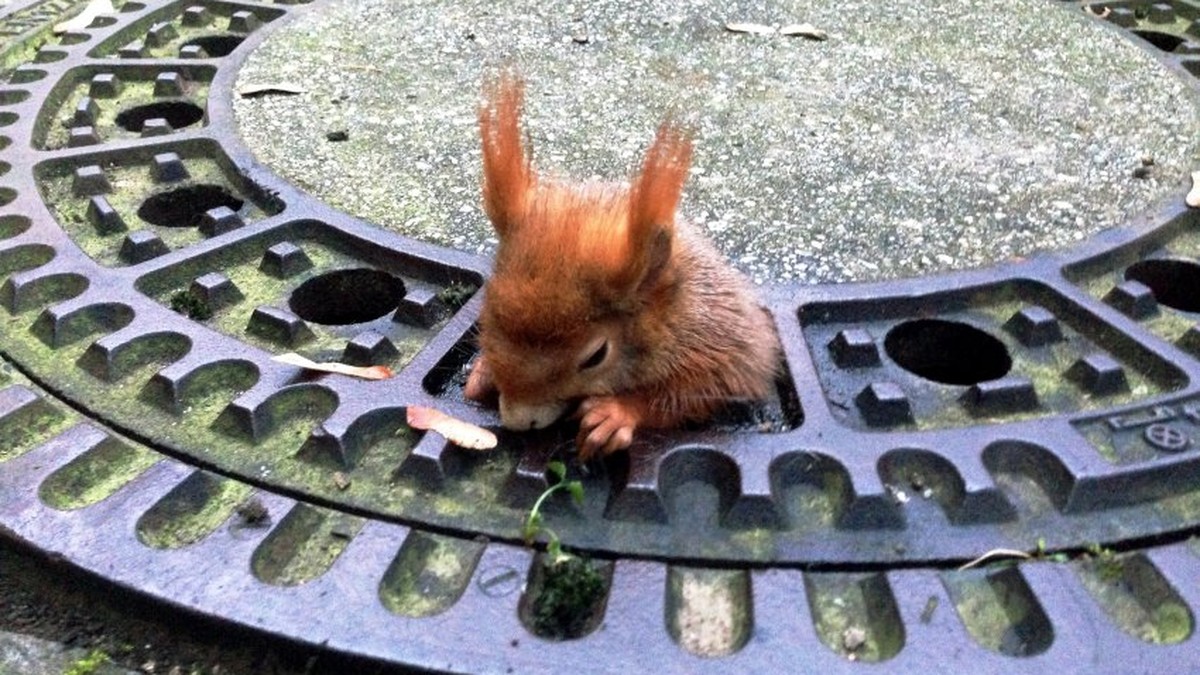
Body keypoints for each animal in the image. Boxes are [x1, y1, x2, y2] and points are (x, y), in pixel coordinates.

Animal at [464, 72, 782, 460]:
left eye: (596, 356)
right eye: (485, 314)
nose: (518, 420)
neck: (667, 311)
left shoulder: (715, 339)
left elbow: (702, 389)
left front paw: (615, 414)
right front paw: (482, 372)